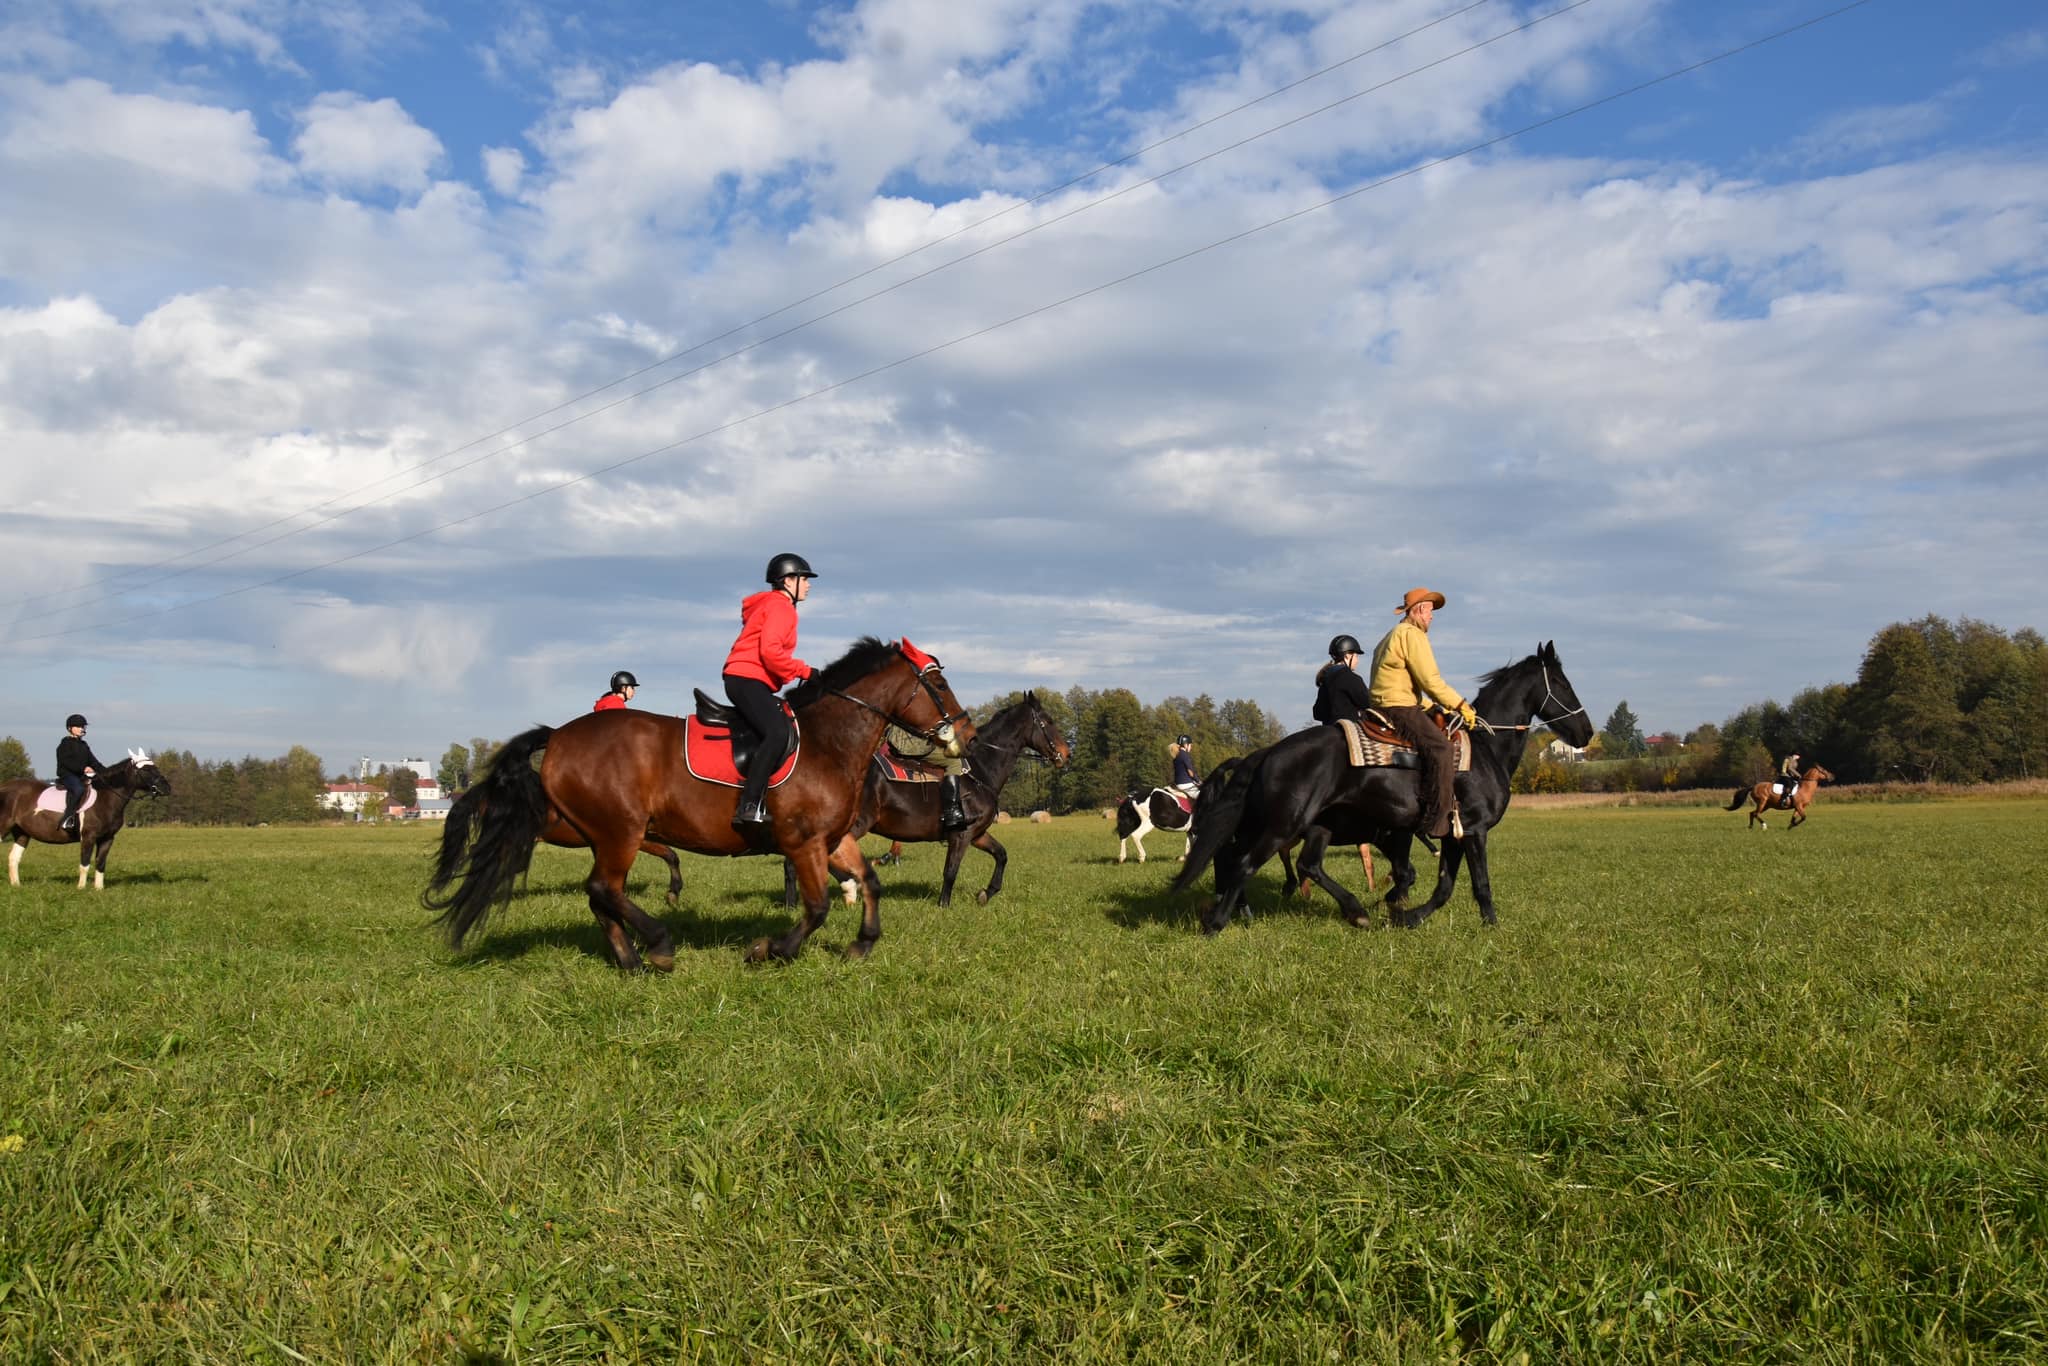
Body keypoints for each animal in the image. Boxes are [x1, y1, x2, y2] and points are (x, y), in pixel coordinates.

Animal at [2, 750, 172, 890]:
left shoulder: (107, 838)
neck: (106, 798)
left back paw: (16, 885)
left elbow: (100, 863)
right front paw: (81, 888)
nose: (167, 788)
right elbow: (84, 863)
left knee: (13, 858)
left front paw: (99, 889)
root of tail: (4, 787)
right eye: (146, 769)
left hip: (22, 833)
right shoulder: (88, 837)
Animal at [424, 637, 976, 968]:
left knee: (600, 895)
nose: (967, 732)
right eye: (939, 682)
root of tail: (559, 735)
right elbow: (817, 906)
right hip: (621, 832)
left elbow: (870, 883)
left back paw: (629, 961)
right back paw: (658, 946)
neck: (829, 741)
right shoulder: (802, 842)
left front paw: (861, 944)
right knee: (603, 888)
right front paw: (770, 949)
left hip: (604, 834)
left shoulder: (833, 838)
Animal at [783, 691, 1070, 909]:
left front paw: (986, 893)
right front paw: (944, 905)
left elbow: (1001, 855)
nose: (1065, 753)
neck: (980, 769)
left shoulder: (977, 834)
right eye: (1048, 721)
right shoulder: (962, 835)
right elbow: (951, 870)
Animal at [1173, 641, 1595, 932]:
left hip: (1312, 829)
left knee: (1300, 865)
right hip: (1280, 827)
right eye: (1562, 682)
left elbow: (1442, 886)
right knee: (1242, 864)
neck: (1485, 749)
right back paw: (1218, 922)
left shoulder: (1450, 835)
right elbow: (1479, 884)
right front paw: (1491, 925)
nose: (1586, 732)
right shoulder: (1472, 831)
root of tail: (1268, 753)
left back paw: (1353, 911)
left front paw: (1406, 916)